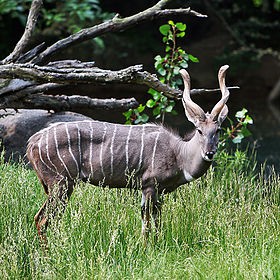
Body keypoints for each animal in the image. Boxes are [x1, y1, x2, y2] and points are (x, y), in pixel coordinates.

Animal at [27, 64, 231, 242]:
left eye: (218, 130)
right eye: (199, 130)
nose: (209, 153)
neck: (179, 154)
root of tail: (33, 142)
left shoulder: (159, 192)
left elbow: (157, 223)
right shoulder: (149, 185)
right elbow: (146, 225)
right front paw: (146, 250)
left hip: (57, 186)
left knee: (44, 218)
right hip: (61, 183)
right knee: (44, 220)